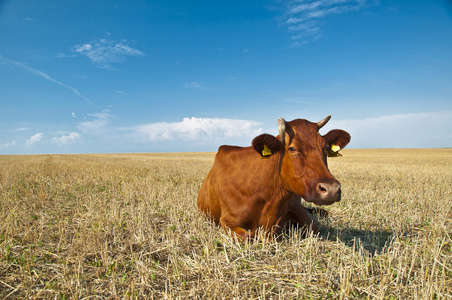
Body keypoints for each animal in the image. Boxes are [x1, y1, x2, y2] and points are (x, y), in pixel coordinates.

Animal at [197, 116, 350, 240]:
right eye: (292, 148)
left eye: (326, 148)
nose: (331, 189)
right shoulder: (227, 221)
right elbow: (247, 237)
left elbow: (314, 229)